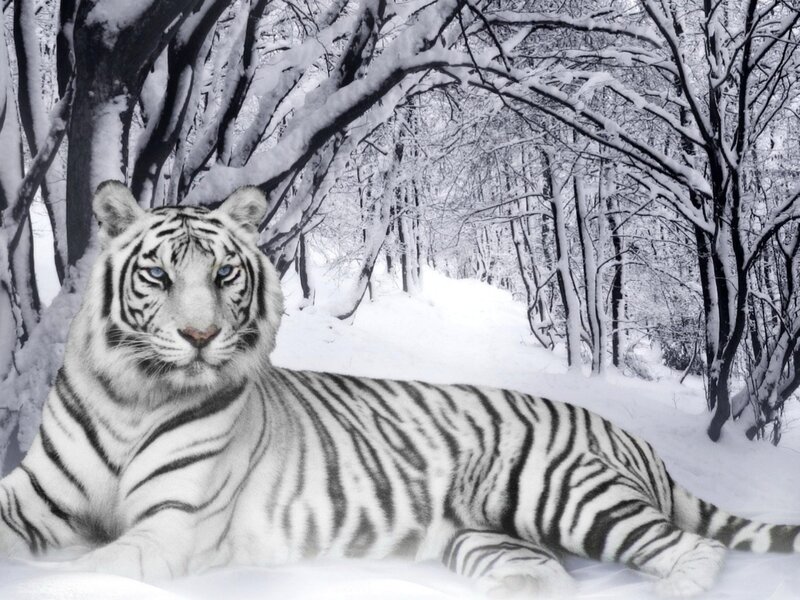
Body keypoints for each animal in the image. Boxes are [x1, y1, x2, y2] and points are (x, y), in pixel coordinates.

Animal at [0, 180, 796, 598]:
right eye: (158, 275)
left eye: (224, 274)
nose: (199, 337)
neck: (133, 396)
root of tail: (636, 440)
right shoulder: (37, 497)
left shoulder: (170, 525)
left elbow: (80, 573)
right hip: (490, 543)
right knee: (551, 578)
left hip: (563, 492)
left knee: (694, 551)